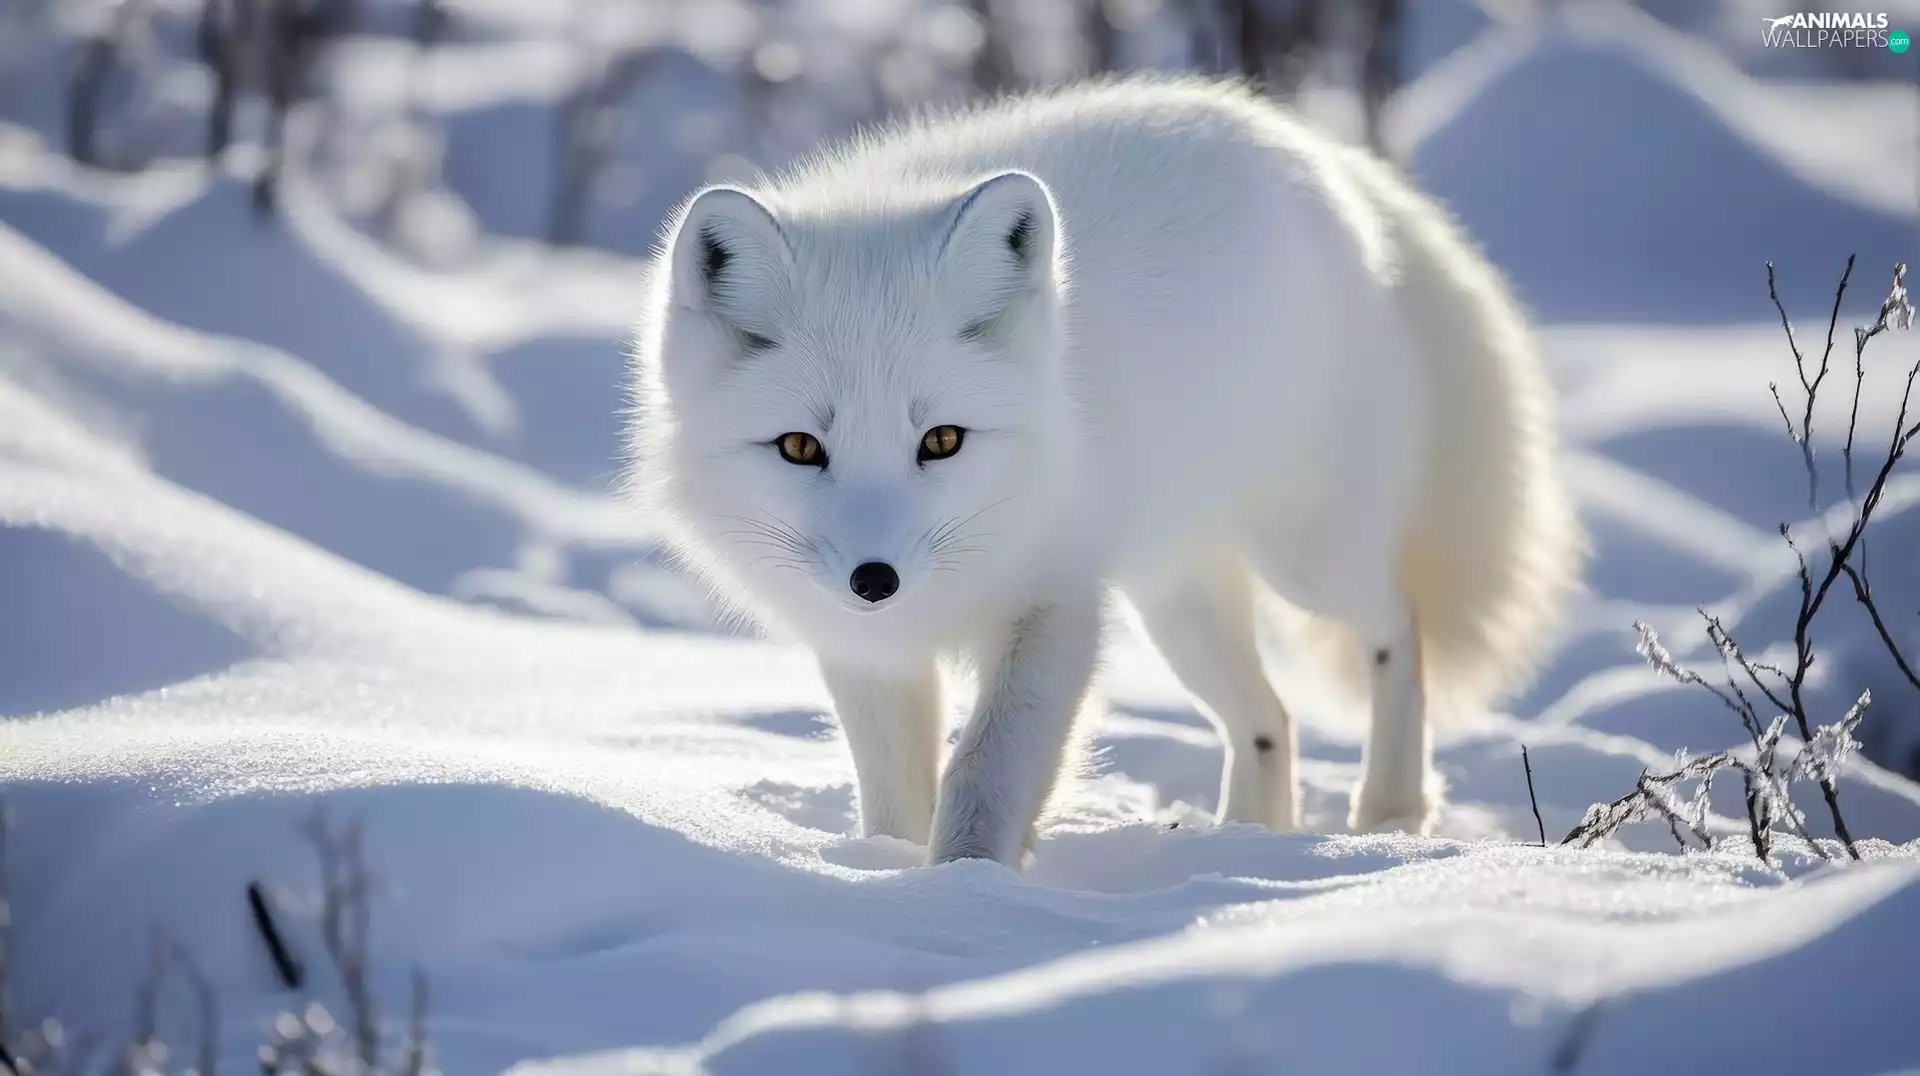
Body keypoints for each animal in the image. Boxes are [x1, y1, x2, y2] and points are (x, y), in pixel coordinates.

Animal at [626, 76, 1583, 867]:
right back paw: (1250, 836)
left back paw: (1387, 812)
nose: (876, 579)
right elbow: (895, 794)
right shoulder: (867, 648)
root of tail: (1312, 147)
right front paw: (894, 870)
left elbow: (985, 774)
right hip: (1176, 602)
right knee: (1268, 718)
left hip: (1305, 558)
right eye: (800, 448)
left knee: (1396, 626)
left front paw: (966, 888)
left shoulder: (1056, 608)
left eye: (941, 440)